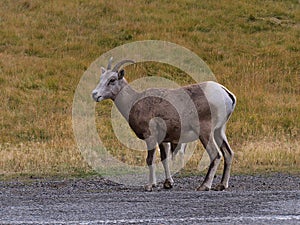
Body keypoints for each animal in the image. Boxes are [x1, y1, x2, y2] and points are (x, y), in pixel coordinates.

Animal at [92, 58, 237, 192]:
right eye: (101, 78)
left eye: (112, 80)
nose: (95, 94)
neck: (135, 102)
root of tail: (226, 94)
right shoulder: (162, 140)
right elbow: (164, 158)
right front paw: (167, 184)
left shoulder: (150, 136)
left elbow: (150, 159)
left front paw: (149, 186)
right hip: (219, 131)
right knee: (228, 153)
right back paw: (221, 185)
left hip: (205, 132)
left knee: (215, 154)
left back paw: (204, 186)